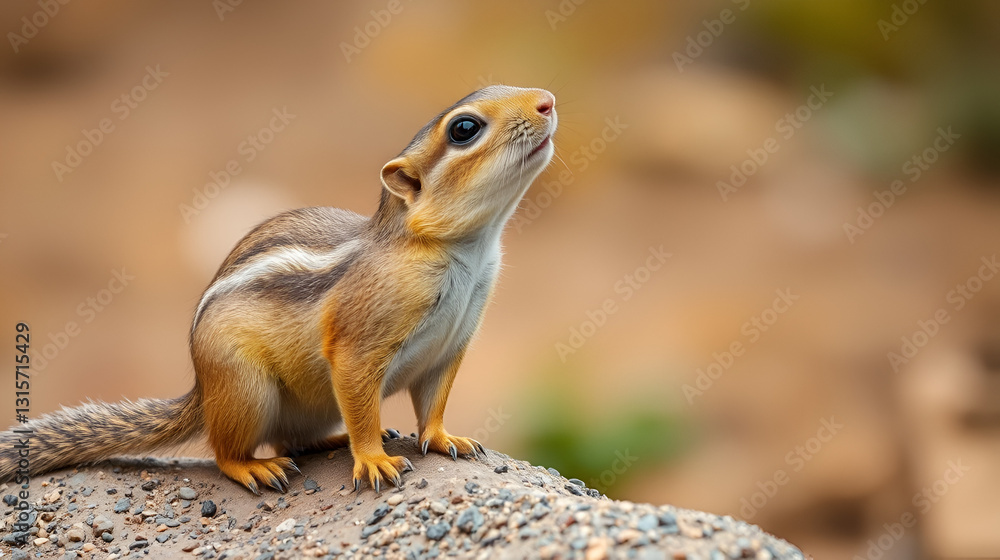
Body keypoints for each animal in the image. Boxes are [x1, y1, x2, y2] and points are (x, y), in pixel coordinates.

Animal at [0, 85, 557, 494]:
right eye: (464, 129)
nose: (548, 100)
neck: (468, 249)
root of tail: (202, 393)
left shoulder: (450, 345)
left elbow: (434, 403)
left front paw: (446, 438)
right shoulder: (358, 344)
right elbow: (361, 396)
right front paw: (373, 458)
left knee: (293, 440)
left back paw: (330, 441)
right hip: (245, 387)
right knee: (226, 452)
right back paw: (256, 467)